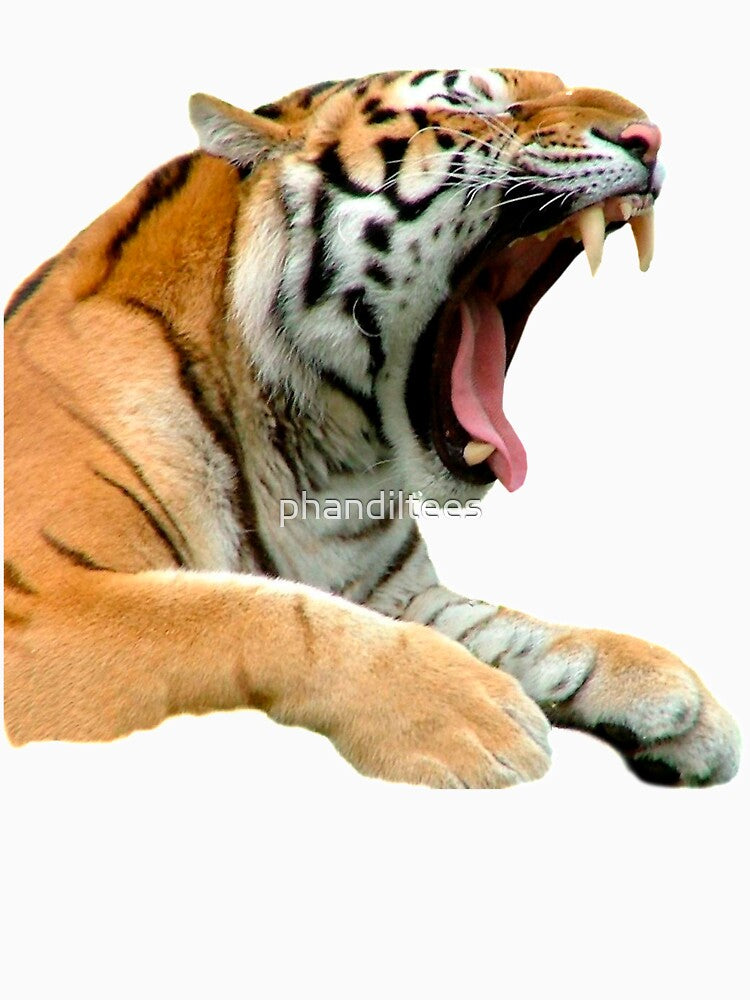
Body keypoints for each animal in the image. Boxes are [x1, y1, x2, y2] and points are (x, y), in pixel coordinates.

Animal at [4, 67, 740, 788]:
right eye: (470, 101)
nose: (650, 137)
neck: (318, 461)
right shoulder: (47, 601)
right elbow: (261, 612)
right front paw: (474, 713)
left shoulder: (393, 591)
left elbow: (501, 624)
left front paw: (672, 694)